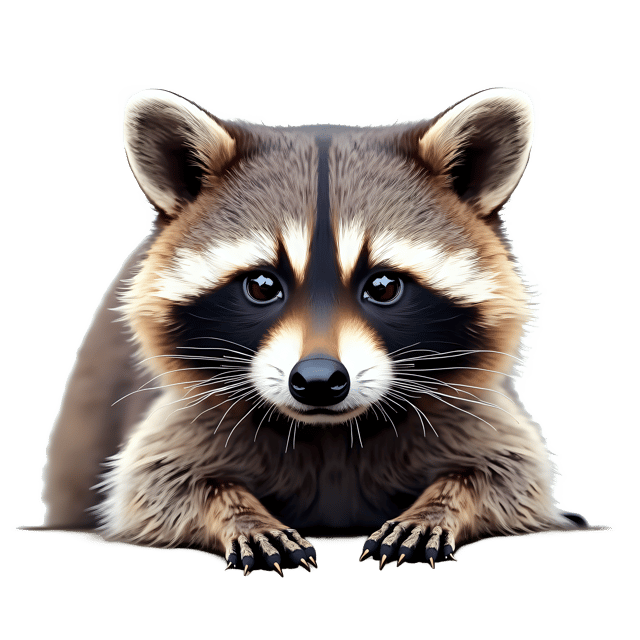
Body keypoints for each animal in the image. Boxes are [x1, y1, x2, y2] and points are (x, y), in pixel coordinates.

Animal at [29, 85, 600, 575]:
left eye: (384, 285)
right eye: (262, 285)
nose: (320, 381)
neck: (331, 433)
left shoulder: (472, 408)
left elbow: (510, 473)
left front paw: (437, 506)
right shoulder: (188, 416)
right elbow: (156, 485)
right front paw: (240, 513)